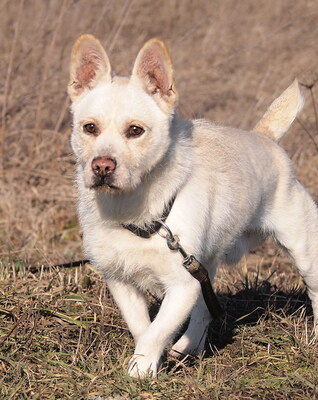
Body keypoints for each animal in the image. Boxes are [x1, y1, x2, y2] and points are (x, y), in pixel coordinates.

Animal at [67, 34, 318, 378]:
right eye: (89, 128)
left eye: (135, 130)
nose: (102, 166)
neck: (135, 209)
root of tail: (265, 138)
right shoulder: (121, 281)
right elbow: (143, 328)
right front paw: (147, 362)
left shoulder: (182, 285)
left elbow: (156, 331)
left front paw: (139, 373)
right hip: (204, 263)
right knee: (203, 310)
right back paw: (188, 347)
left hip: (304, 253)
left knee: (315, 292)